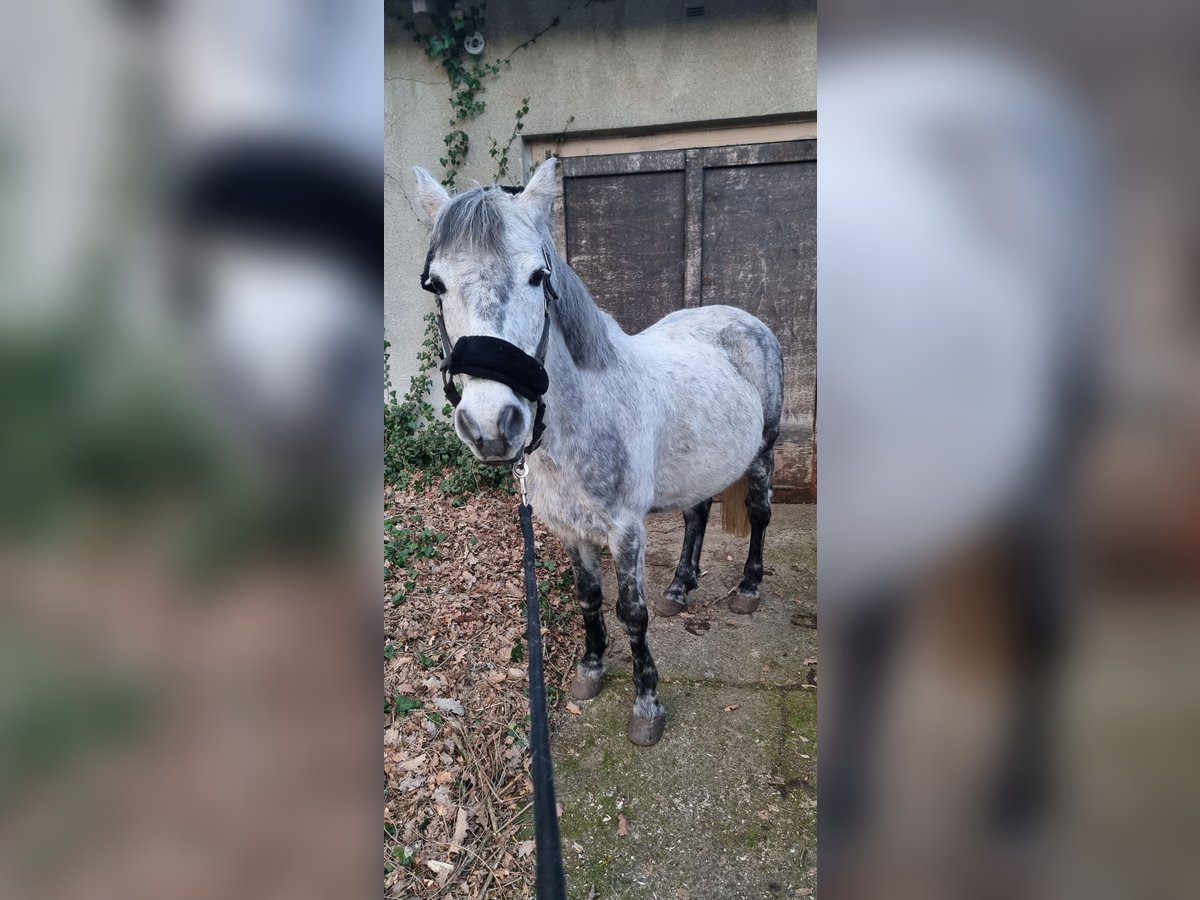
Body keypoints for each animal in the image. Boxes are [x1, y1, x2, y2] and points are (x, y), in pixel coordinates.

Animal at [412, 158, 784, 746]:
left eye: (538, 278)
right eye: (437, 284)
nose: (492, 424)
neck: (587, 415)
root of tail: (745, 320)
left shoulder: (625, 530)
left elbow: (631, 611)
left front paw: (646, 705)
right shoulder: (569, 530)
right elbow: (588, 597)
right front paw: (590, 670)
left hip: (763, 451)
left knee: (759, 512)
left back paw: (747, 588)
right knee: (697, 514)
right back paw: (680, 588)